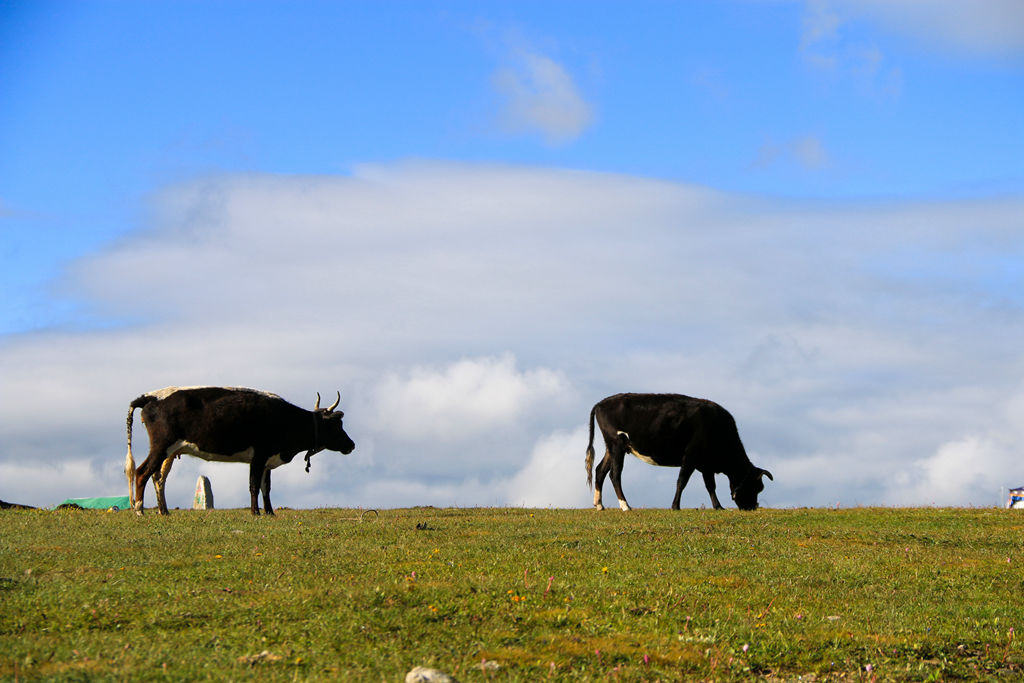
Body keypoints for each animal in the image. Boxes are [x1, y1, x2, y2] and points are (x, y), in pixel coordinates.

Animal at [125, 387, 356, 516]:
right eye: (337, 424)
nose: (351, 445)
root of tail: (151, 396)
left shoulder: (267, 460)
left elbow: (266, 487)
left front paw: (270, 512)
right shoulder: (259, 455)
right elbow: (253, 485)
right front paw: (256, 513)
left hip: (167, 451)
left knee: (156, 476)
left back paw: (162, 512)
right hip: (161, 447)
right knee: (142, 472)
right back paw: (140, 510)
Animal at [589, 393, 770, 509]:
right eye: (756, 487)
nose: (752, 507)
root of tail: (601, 403)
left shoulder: (706, 464)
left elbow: (710, 486)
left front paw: (718, 507)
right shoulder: (691, 455)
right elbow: (682, 481)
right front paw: (675, 506)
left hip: (611, 447)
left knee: (600, 471)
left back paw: (599, 505)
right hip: (617, 444)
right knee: (615, 474)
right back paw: (625, 506)